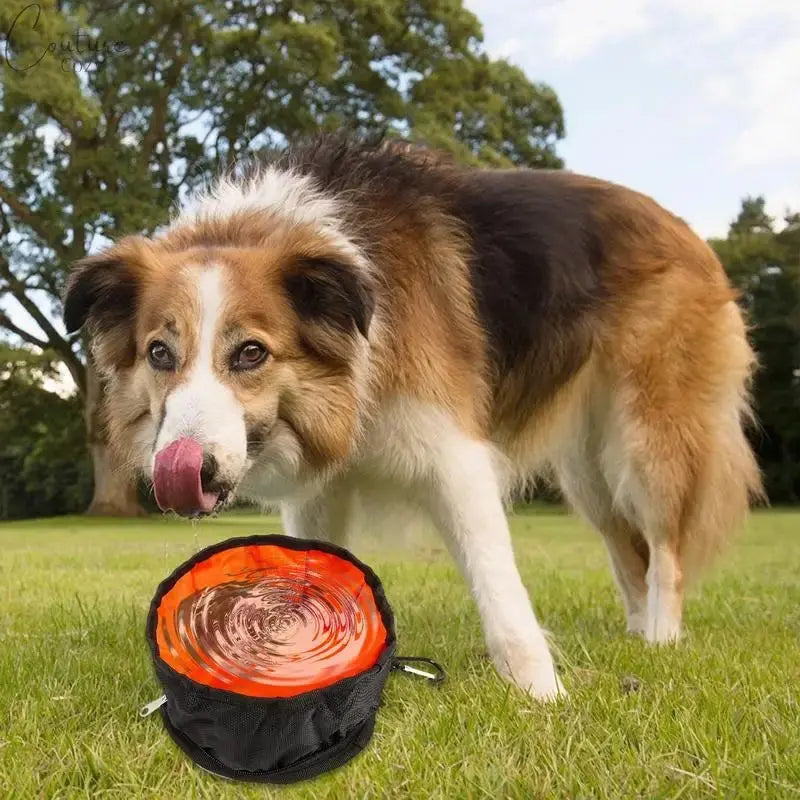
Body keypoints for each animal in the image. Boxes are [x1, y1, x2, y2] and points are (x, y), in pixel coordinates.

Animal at [64, 138, 764, 700]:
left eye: (251, 353)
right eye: (160, 353)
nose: (185, 470)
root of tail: (685, 229)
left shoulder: (456, 460)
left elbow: (500, 589)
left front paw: (544, 695)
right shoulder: (319, 495)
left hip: (645, 442)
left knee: (664, 550)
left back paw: (661, 641)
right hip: (587, 469)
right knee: (626, 549)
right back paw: (635, 633)